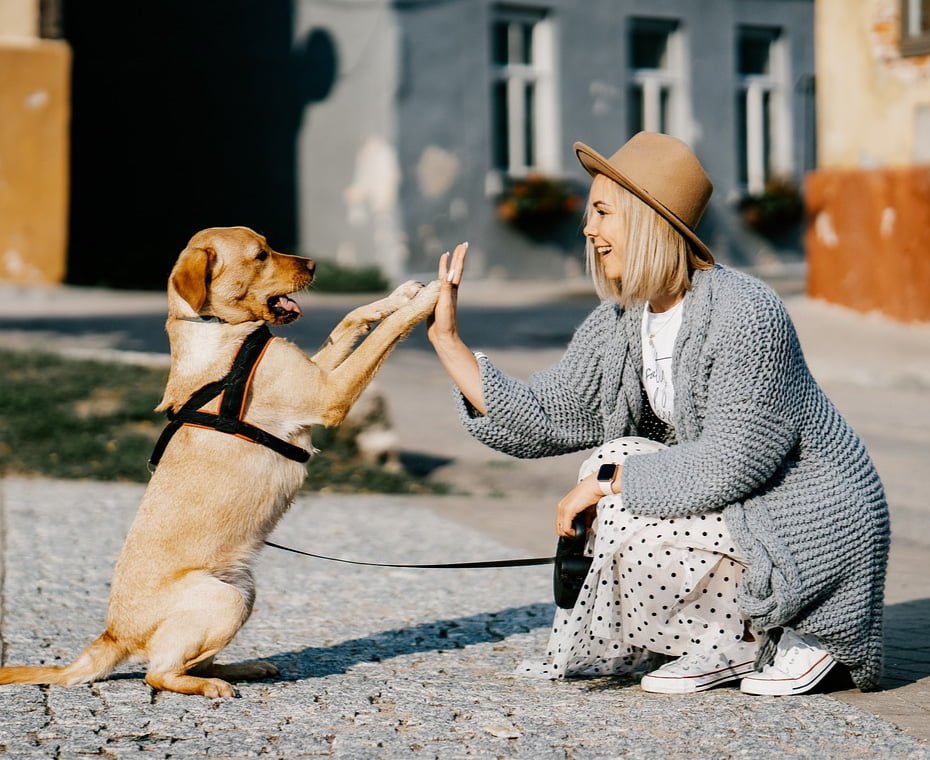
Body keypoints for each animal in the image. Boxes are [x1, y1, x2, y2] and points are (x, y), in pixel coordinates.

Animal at [0, 227, 440, 700]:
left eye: (269, 245)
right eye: (261, 255)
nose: (314, 265)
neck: (220, 331)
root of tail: (113, 634)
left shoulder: (318, 374)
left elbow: (352, 319)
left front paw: (400, 294)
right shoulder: (329, 394)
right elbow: (382, 336)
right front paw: (429, 298)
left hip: (243, 590)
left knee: (190, 660)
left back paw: (242, 668)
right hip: (223, 599)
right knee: (158, 672)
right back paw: (210, 685)